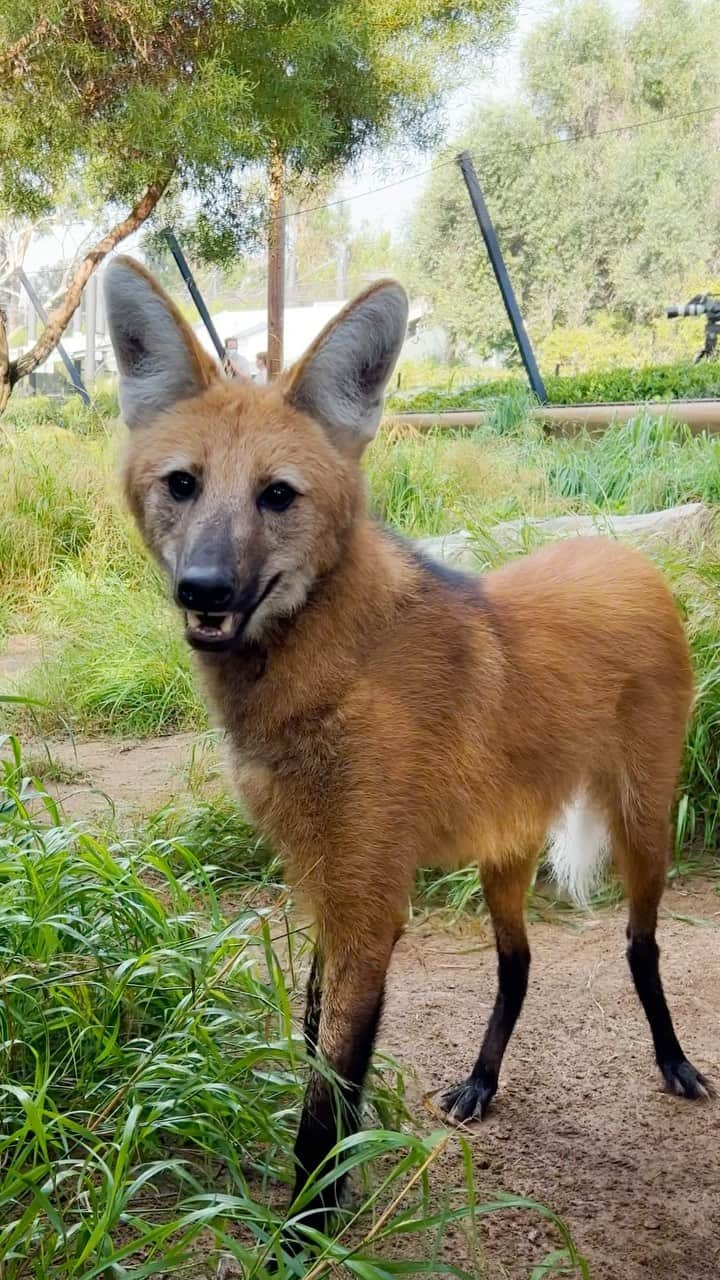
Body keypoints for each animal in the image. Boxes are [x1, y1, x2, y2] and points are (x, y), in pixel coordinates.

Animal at [105, 257, 707, 1228]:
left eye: (277, 495)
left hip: (643, 829)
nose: (204, 589)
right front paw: (329, 1209)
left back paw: (674, 1061)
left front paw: (304, 1239)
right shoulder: (324, 883)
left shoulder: (367, 904)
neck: (329, 670)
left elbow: (324, 1105)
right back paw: (481, 1082)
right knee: (518, 963)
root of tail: (625, 553)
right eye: (182, 484)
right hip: (503, 849)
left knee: (639, 946)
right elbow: (318, 1051)